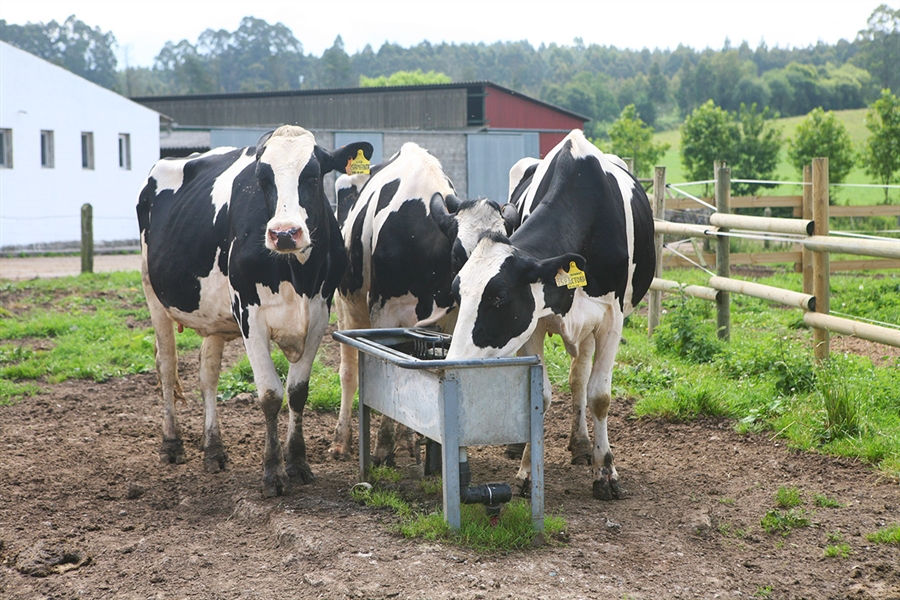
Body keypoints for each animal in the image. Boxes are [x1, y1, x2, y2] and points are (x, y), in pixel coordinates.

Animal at [134, 125, 372, 496]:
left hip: (214, 317)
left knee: (208, 373)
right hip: (152, 291)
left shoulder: (319, 315)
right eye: (262, 178)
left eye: (313, 174)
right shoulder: (250, 316)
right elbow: (271, 394)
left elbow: (298, 392)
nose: (285, 233)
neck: (294, 273)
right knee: (167, 365)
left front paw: (298, 463)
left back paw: (213, 450)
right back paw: (171, 443)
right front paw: (273, 473)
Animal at [332, 143, 512, 462]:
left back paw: (409, 443)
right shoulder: (384, 312)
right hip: (347, 304)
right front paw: (383, 446)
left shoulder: (452, 319)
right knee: (349, 371)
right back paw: (342, 440)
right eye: (458, 254)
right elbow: (390, 369)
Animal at [448, 131, 652, 502]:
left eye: (500, 295)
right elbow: (537, 396)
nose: (455, 363)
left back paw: (583, 444)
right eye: (458, 289)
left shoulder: (612, 319)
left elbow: (600, 396)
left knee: (579, 378)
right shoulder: (534, 325)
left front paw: (606, 471)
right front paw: (527, 471)